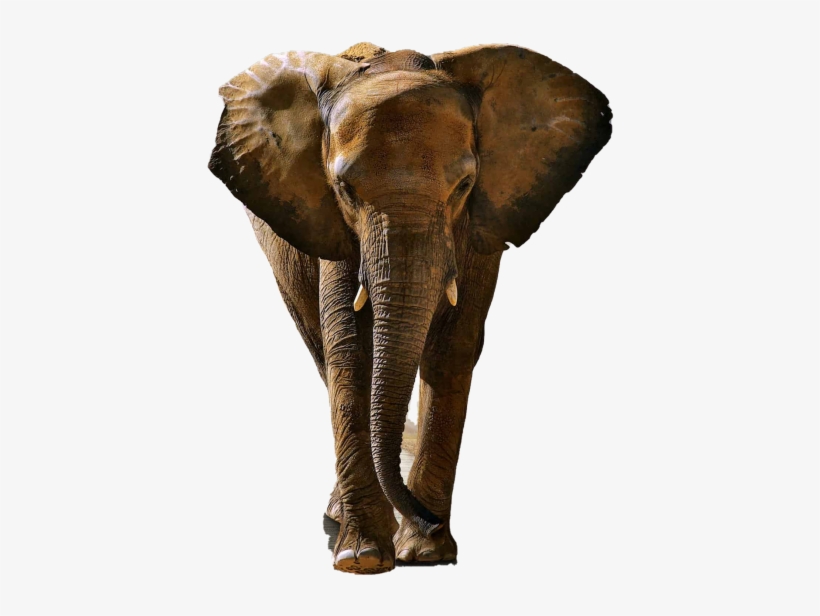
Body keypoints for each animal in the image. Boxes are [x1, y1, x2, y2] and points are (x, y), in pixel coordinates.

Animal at [208, 42, 611, 574]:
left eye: (464, 186)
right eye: (345, 189)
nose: (426, 518)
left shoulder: (479, 227)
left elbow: (452, 347)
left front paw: (425, 554)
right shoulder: (335, 228)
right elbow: (350, 349)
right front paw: (362, 559)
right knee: (319, 348)